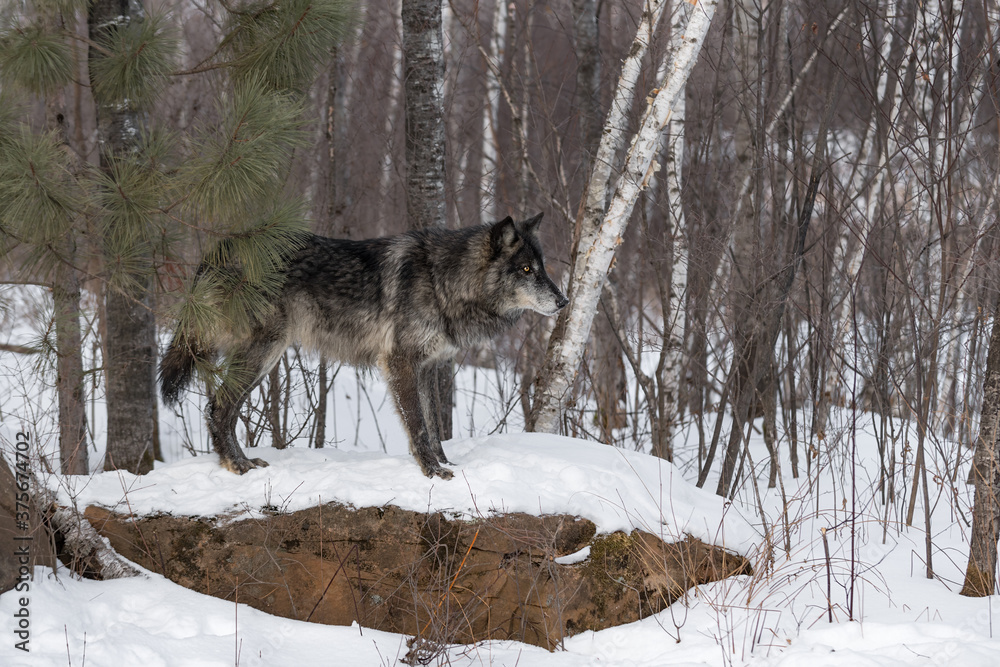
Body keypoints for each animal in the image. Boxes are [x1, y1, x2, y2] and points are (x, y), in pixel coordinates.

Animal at [159, 213, 568, 478]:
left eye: (542, 267)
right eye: (527, 270)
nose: (564, 301)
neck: (442, 280)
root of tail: (221, 247)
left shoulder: (427, 366)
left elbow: (434, 424)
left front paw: (445, 463)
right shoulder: (400, 362)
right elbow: (418, 426)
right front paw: (432, 472)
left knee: (222, 407)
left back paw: (237, 462)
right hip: (265, 352)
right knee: (219, 406)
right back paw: (237, 465)